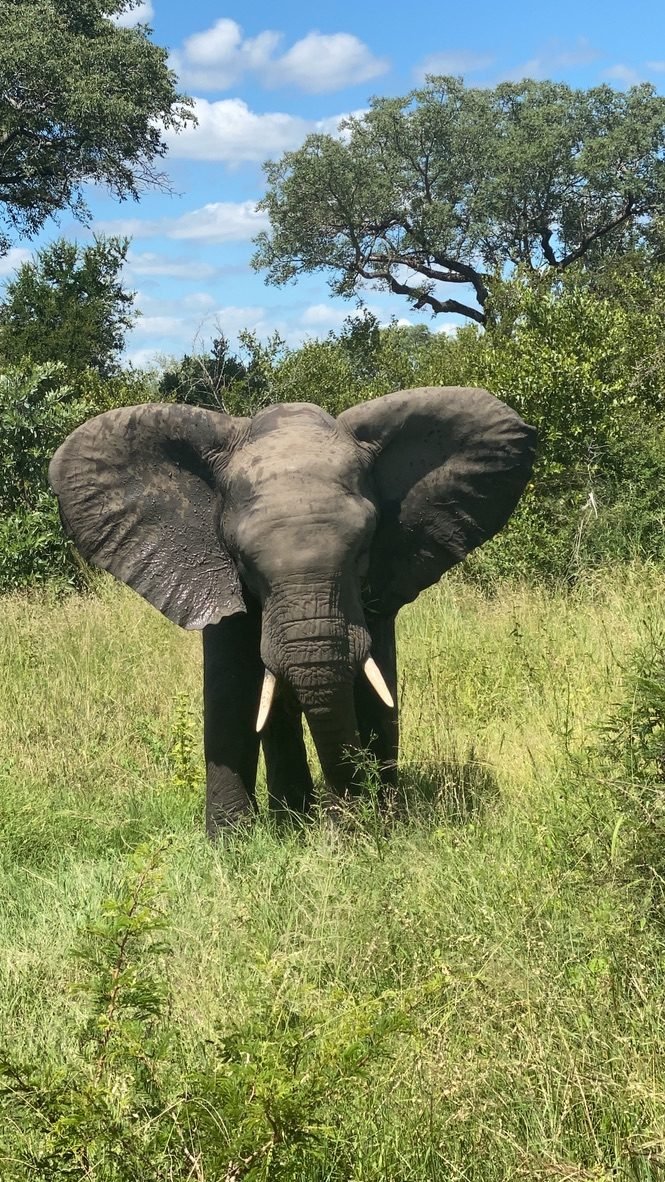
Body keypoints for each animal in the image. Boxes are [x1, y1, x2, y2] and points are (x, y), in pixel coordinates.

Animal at [48, 386, 536, 835]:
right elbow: (230, 691)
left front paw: (381, 827)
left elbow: (376, 686)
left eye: (363, 548)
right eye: (242, 559)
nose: (347, 821)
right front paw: (233, 847)